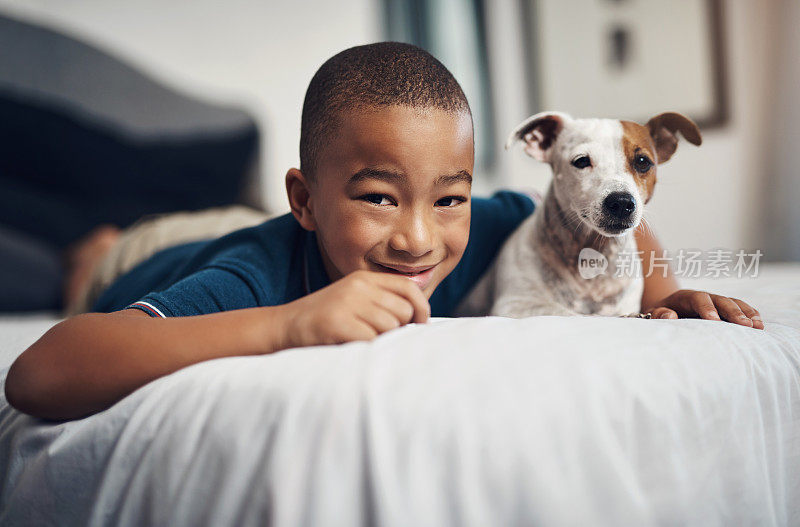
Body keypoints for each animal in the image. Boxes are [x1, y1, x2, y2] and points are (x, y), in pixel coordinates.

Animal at [456, 111, 700, 318]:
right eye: (581, 161)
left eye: (643, 162)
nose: (621, 202)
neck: (593, 257)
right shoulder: (514, 305)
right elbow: (575, 314)